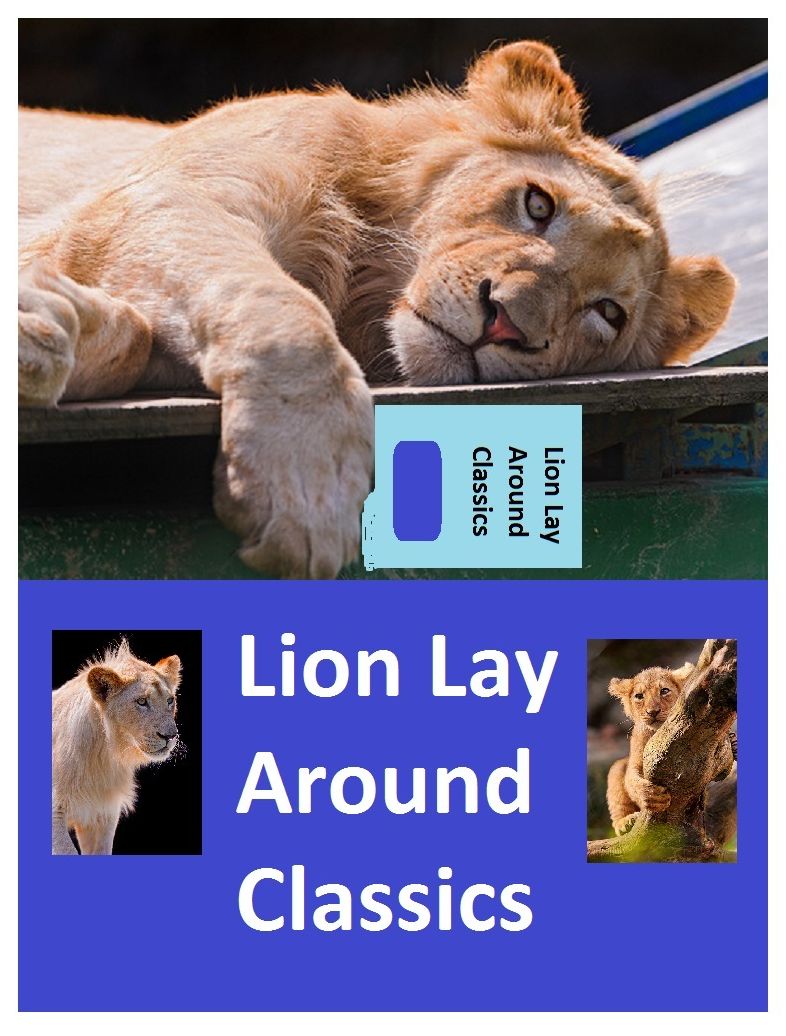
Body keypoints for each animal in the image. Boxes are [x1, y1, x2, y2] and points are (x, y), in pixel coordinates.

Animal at [19, 40, 736, 578]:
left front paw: (51, 325)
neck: (359, 283)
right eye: (538, 205)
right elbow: (279, 311)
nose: (506, 321)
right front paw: (307, 482)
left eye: (608, 314)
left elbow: (140, 333)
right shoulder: (166, 197)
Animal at [51, 639, 181, 855]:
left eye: (170, 700)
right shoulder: (56, 811)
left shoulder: (103, 812)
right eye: (142, 701)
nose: (170, 736)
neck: (102, 755)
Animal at [606, 662, 737, 837]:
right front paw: (650, 796)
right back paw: (626, 822)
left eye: (664, 691)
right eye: (639, 696)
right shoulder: (636, 757)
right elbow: (632, 780)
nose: (653, 712)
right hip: (617, 768)